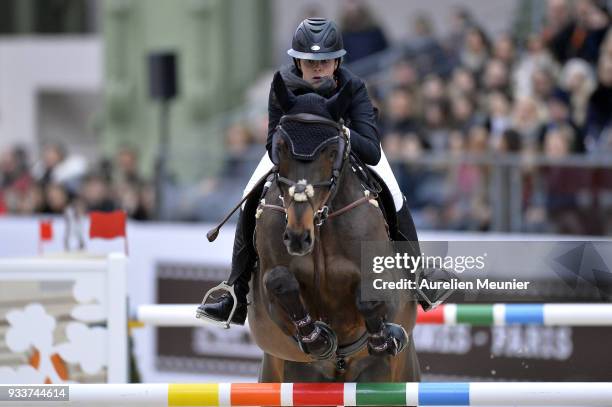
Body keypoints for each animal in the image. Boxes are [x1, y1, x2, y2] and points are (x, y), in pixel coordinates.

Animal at [245, 73, 420, 386]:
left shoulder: (386, 286)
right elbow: (279, 281)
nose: (298, 237)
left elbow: (369, 298)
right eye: (280, 147)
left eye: (331, 151)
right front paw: (319, 338)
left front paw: (385, 339)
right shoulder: (271, 294)